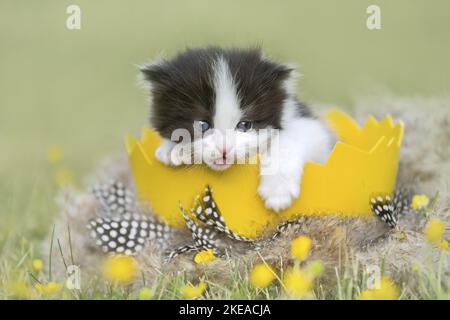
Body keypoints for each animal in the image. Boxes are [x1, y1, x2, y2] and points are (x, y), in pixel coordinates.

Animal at [140, 47, 334, 212]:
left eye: (245, 125)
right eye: (203, 125)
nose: (224, 150)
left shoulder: (309, 125)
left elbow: (293, 137)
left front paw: (277, 190)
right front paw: (171, 149)